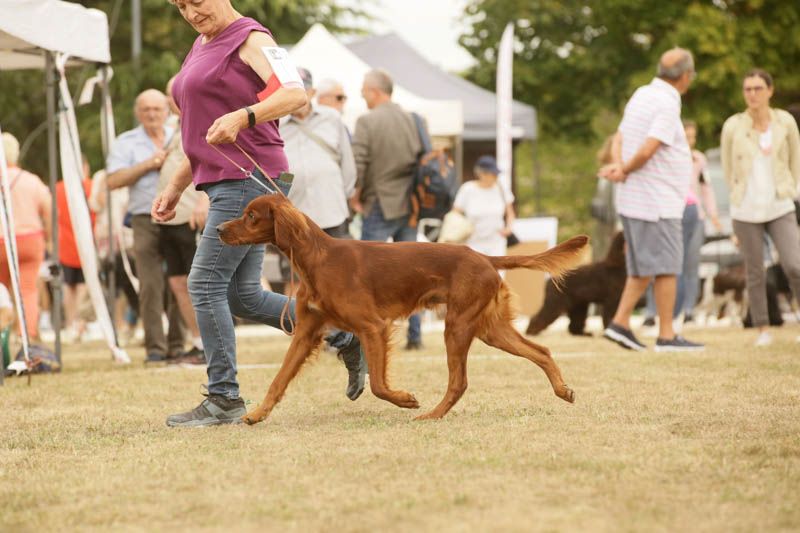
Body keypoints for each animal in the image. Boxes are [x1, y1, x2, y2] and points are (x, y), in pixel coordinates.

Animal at [219, 193, 588, 422]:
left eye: (251, 216)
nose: (220, 228)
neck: (317, 259)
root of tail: (484, 257)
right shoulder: (306, 332)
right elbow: (279, 379)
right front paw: (256, 414)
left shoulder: (372, 326)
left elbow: (379, 386)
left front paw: (406, 399)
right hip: (490, 328)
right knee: (540, 350)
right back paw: (564, 391)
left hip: (459, 326)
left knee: (460, 381)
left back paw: (431, 415)